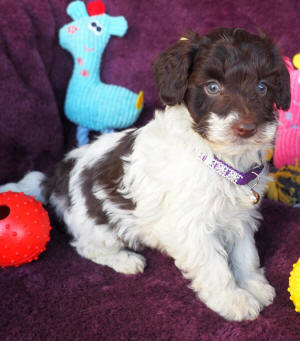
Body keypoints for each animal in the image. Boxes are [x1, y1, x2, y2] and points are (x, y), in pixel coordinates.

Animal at [0, 27, 290, 320]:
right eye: (212, 87)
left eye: (262, 87)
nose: (247, 128)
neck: (218, 158)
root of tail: (58, 174)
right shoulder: (191, 227)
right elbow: (215, 267)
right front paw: (233, 299)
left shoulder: (240, 216)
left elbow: (246, 255)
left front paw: (254, 284)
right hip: (95, 223)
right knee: (87, 247)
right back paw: (125, 260)